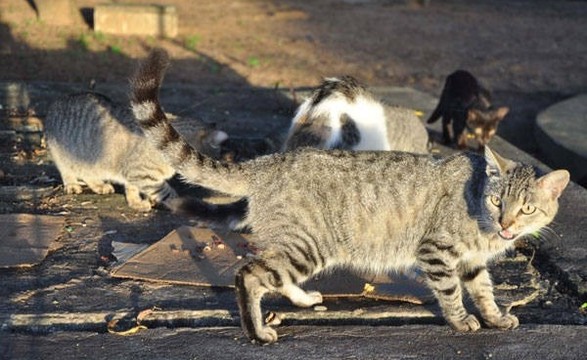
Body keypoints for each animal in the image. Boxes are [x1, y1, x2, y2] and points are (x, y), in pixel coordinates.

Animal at [43, 91, 226, 212]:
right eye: (213, 162)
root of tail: (57, 101)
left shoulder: (134, 175)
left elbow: (133, 189)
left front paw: (136, 202)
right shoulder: (140, 172)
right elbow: (166, 190)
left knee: (88, 173)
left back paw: (99, 185)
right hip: (63, 155)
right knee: (68, 171)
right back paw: (73, 184)